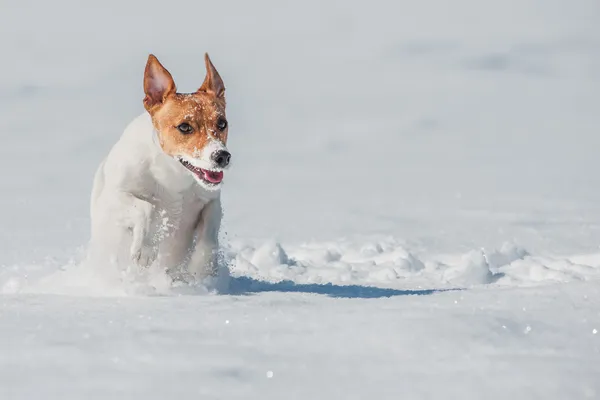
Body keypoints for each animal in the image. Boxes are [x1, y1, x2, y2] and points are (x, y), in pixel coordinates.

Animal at [88, 54, 230, 284]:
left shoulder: (211, 201)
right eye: (184, 127)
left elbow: (209, 232)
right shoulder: (112, 201)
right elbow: (146, 207)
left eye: (222, 123)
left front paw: (202, 267)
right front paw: (144, 251)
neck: (174, 178)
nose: (222, 156)